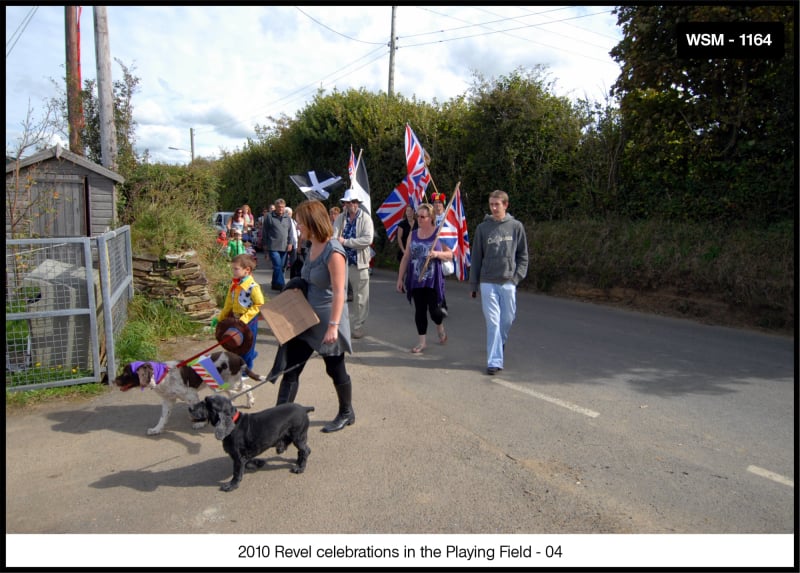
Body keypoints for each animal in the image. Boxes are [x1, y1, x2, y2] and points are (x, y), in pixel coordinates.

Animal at [114, 348, 264, 434]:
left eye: (126, 373)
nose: (114, 381)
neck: (162, 375)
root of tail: (238, 357)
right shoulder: (168, 400)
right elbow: (163, 417)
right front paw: (157, 429)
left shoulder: (191, 395)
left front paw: (200, 424)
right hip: (222, 385)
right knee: (239, 391)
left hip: (229, 384)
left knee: (246, 387)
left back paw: (249, 402)